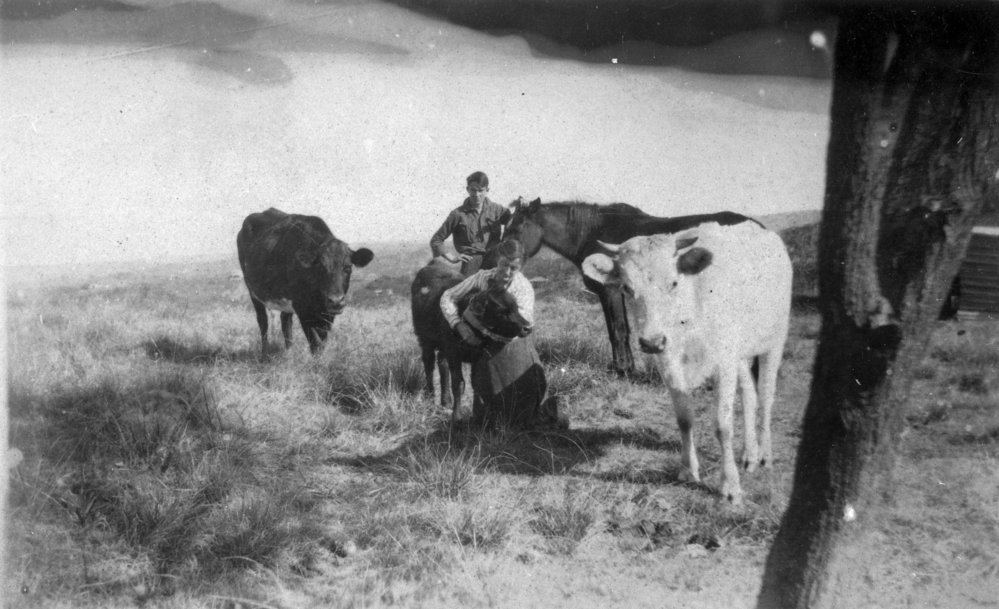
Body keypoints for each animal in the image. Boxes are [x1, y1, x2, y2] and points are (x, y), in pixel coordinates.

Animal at [236, 208, 373, 355]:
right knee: (263, 321)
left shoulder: (327, 313)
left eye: (347, 267)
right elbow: (315, 343)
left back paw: (289, 353)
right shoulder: (302, 308)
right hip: (252, 291)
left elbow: (322, 341)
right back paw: (265, 353)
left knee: (285, 321)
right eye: (320, 267)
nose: (336, 300)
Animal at [582, 220, 792, 505]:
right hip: (741, 351)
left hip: (774, 339)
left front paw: (730, 486)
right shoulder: (669, 362)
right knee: (749, 395)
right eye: (626, 287)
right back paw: (749, 454)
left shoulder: (724, 361)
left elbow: (723, 425)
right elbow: (684, 419)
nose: (651, 341)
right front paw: (687, 470)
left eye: (673, 282)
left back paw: (764, 455)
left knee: (767, 397)